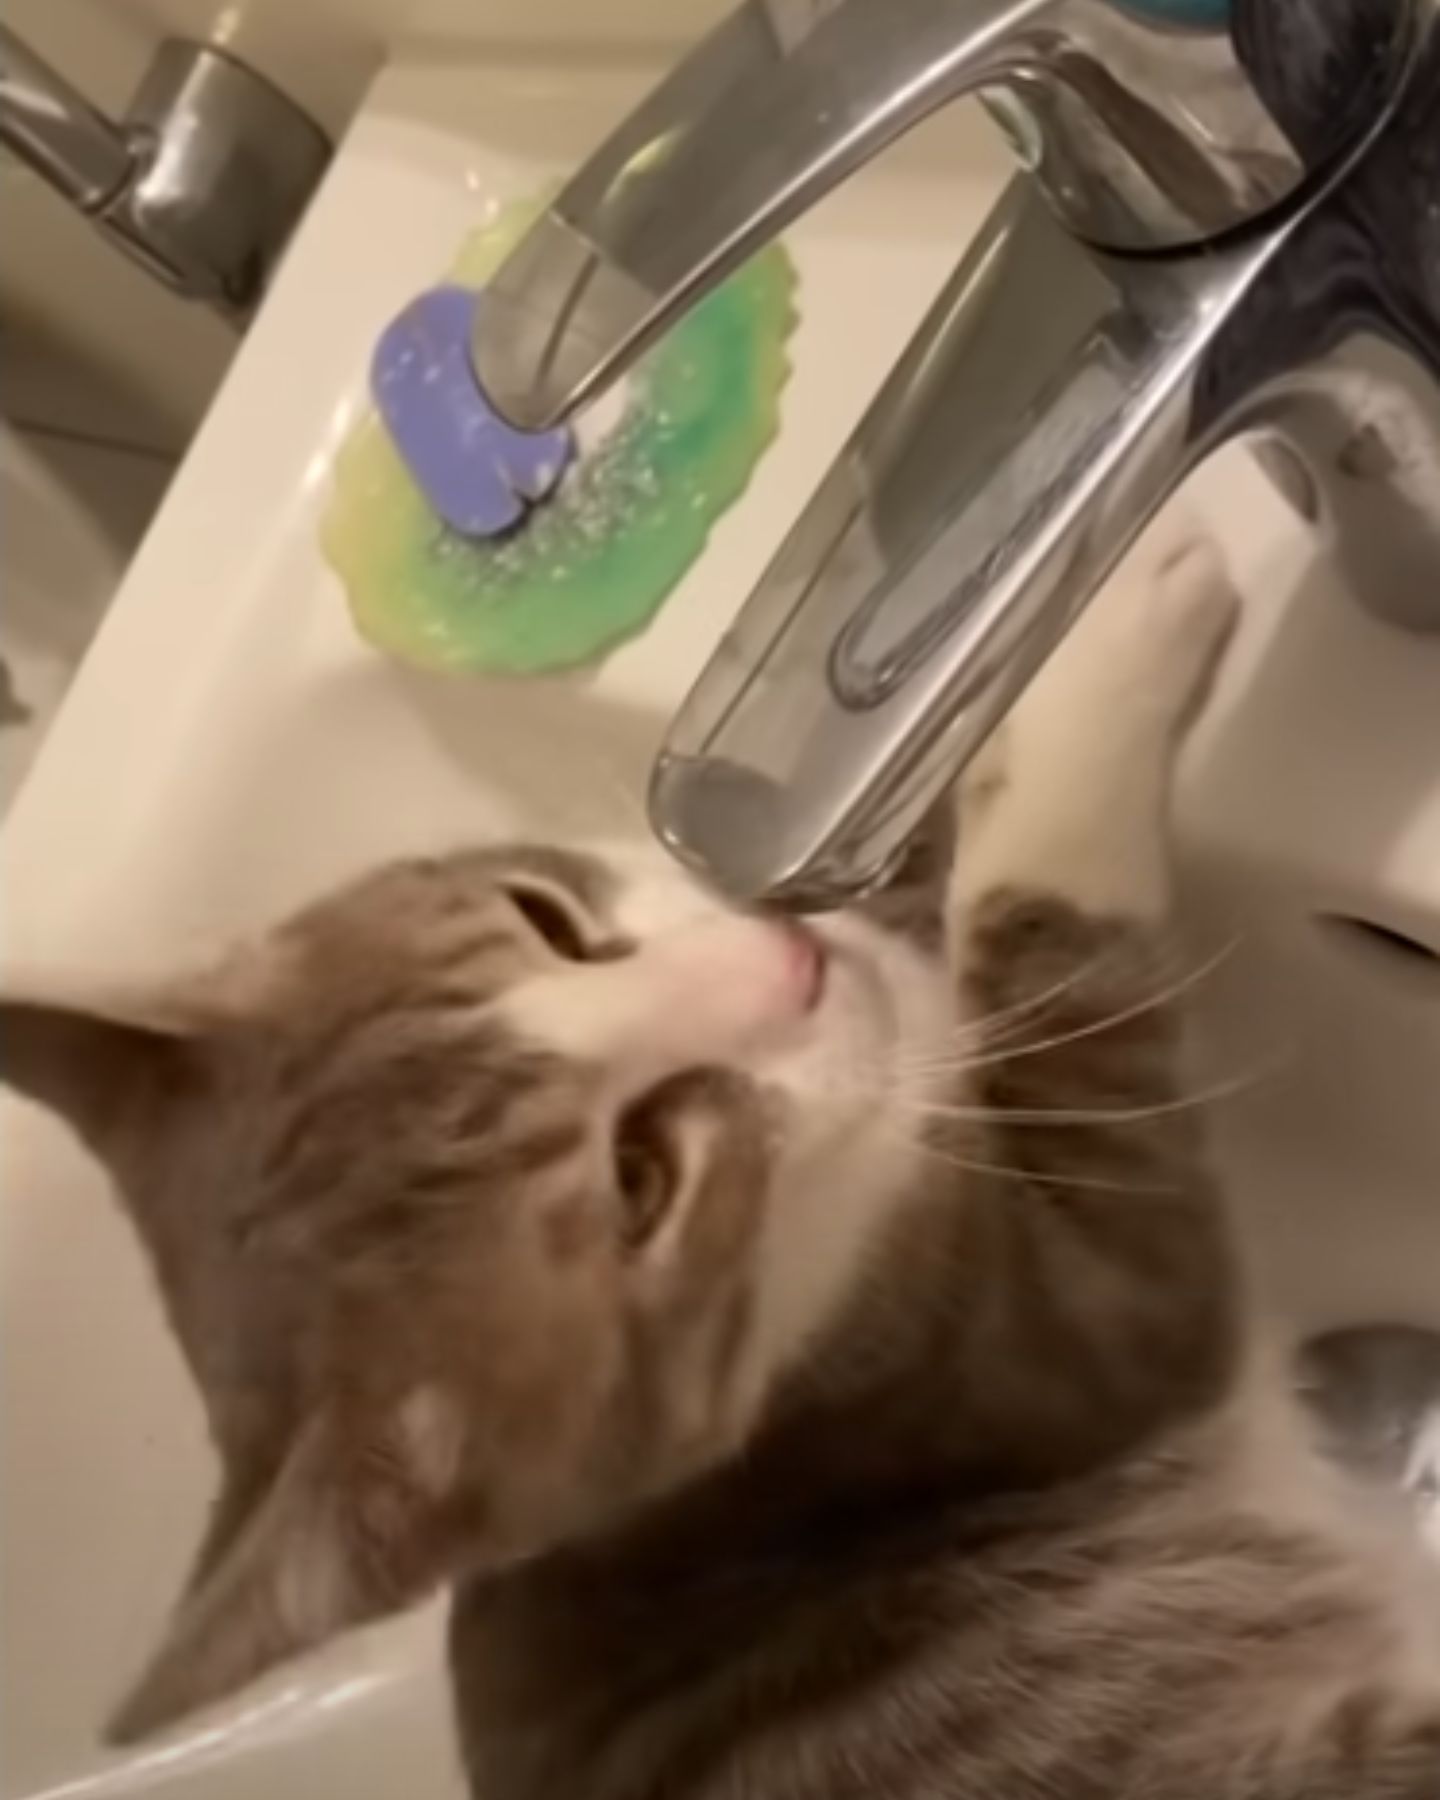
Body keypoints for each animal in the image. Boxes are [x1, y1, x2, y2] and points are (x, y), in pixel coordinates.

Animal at [2, 525, 1440, 1792]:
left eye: (548, 920)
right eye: (642, 1182)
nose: (783, 964)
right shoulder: (1056, 1333)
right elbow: (1053, 955)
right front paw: (1116, 639)